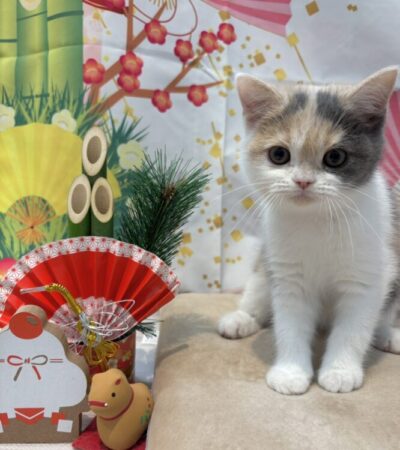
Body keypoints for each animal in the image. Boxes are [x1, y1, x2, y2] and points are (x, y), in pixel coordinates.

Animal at [218, 67, 400, 395]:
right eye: (279, 155)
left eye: (335, 158)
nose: (303, 181)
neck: (317, 221)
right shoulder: (288, 275)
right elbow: (289, 322)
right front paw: (290, 372)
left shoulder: (369, 273)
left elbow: (354, 327)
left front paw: (340, 371)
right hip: (266, 261)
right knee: (258, 286)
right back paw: (242, 317)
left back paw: (388, 334)